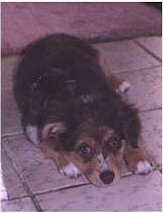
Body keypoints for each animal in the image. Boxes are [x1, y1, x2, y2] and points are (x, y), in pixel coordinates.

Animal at [13, 33, 152, 186]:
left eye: (114, 142)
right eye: (84, 149)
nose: (108, 178)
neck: (83, 99)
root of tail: (51, 36)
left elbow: (134, 136)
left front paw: (140, 160)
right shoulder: (31, 124)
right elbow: (46, 143)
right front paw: (68, 165)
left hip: (96, 55)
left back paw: (119, 83)